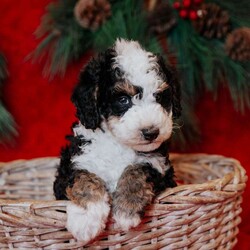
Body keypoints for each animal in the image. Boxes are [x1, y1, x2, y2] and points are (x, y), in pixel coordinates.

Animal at [53, 38, 181, 242]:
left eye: (160, 96)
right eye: (123, 100)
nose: (151, 132)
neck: (118, 144)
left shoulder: (160, 168)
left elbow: (137, 168)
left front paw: (127, 210)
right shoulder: (75, 163)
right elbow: (84, 178)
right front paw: (85, 219)